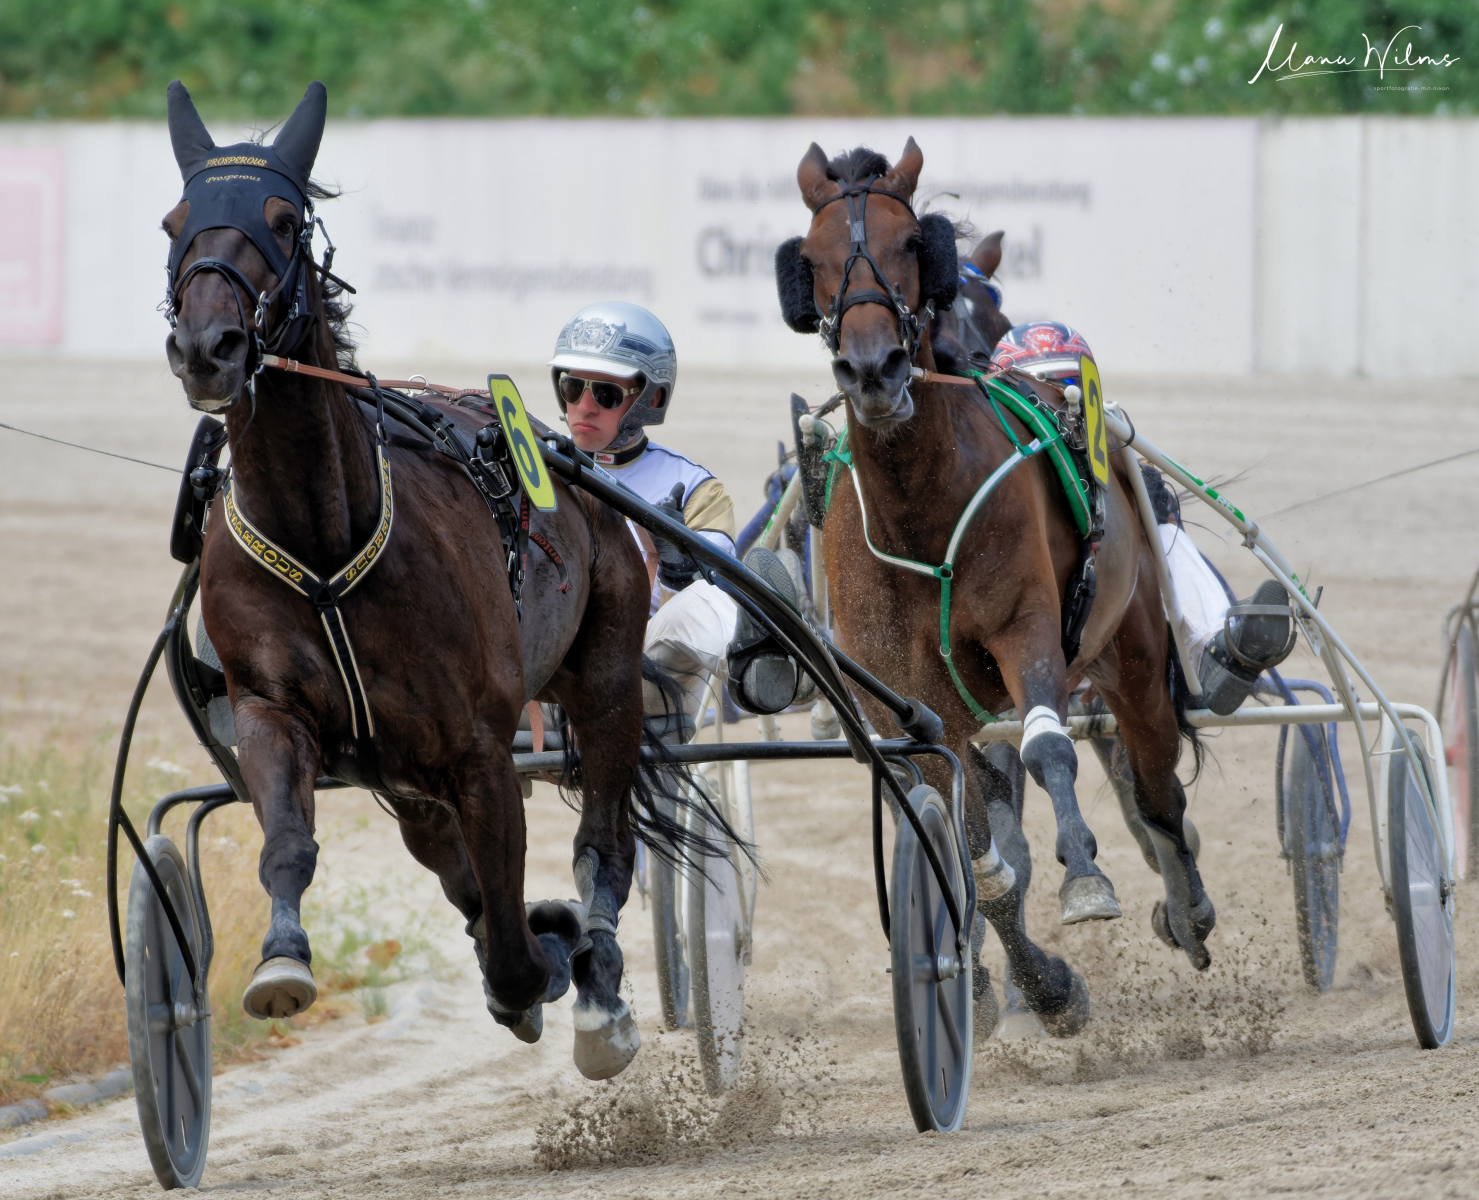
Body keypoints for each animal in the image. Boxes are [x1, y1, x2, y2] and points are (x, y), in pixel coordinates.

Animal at [159, 79, 675, 1079]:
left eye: (282, 220)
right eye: (173, 222)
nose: (209, 347)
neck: (327, 545)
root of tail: (571, 457)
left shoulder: (479, 749)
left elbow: (514, 932)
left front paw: (548, 959)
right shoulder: (272, 710)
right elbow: (289, 845)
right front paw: (281, 963)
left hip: (604, 676)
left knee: (603, 838)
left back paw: (594, 980)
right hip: (400, 776)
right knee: (456, 862)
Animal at [777, 137, 1213, 1025]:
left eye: (912, 244)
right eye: (811, 257)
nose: (872, 369)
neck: (919, 510)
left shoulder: (1025, 631)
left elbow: (1049, 749)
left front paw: (1084, 881)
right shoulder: (902, 699)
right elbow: (976, 853)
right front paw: (1043, 987)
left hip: (1131, 652)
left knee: (1155, 789)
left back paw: (1185, 907)